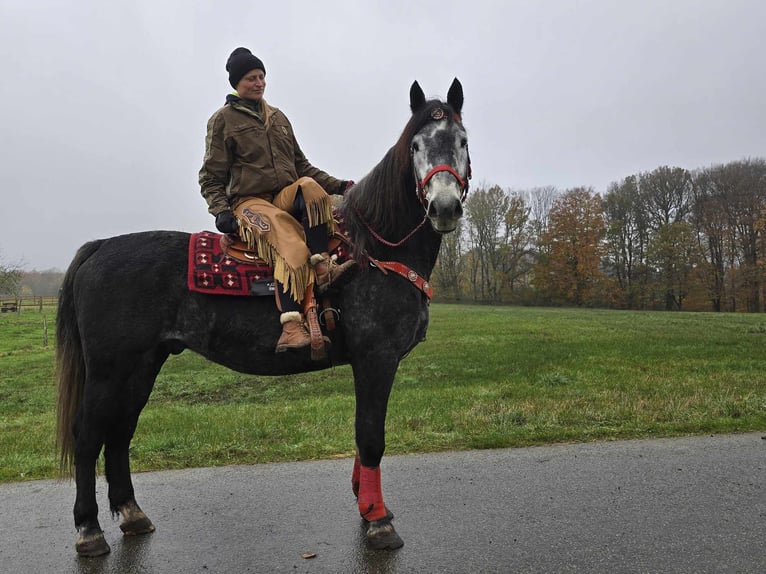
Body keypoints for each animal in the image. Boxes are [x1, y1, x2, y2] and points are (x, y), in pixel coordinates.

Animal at [57, 77, 472, 560]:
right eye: (417, 145)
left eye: (462, 141)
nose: (444, 207)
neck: (372, 251)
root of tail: (101, 247)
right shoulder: (377, 358)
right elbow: (371, 436)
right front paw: (378, 520)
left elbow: (362, 435)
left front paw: (365, 503)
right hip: (109, 370)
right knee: (89, 436)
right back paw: (89, 530)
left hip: (141, 367)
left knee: (120, 432)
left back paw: (132, 514)